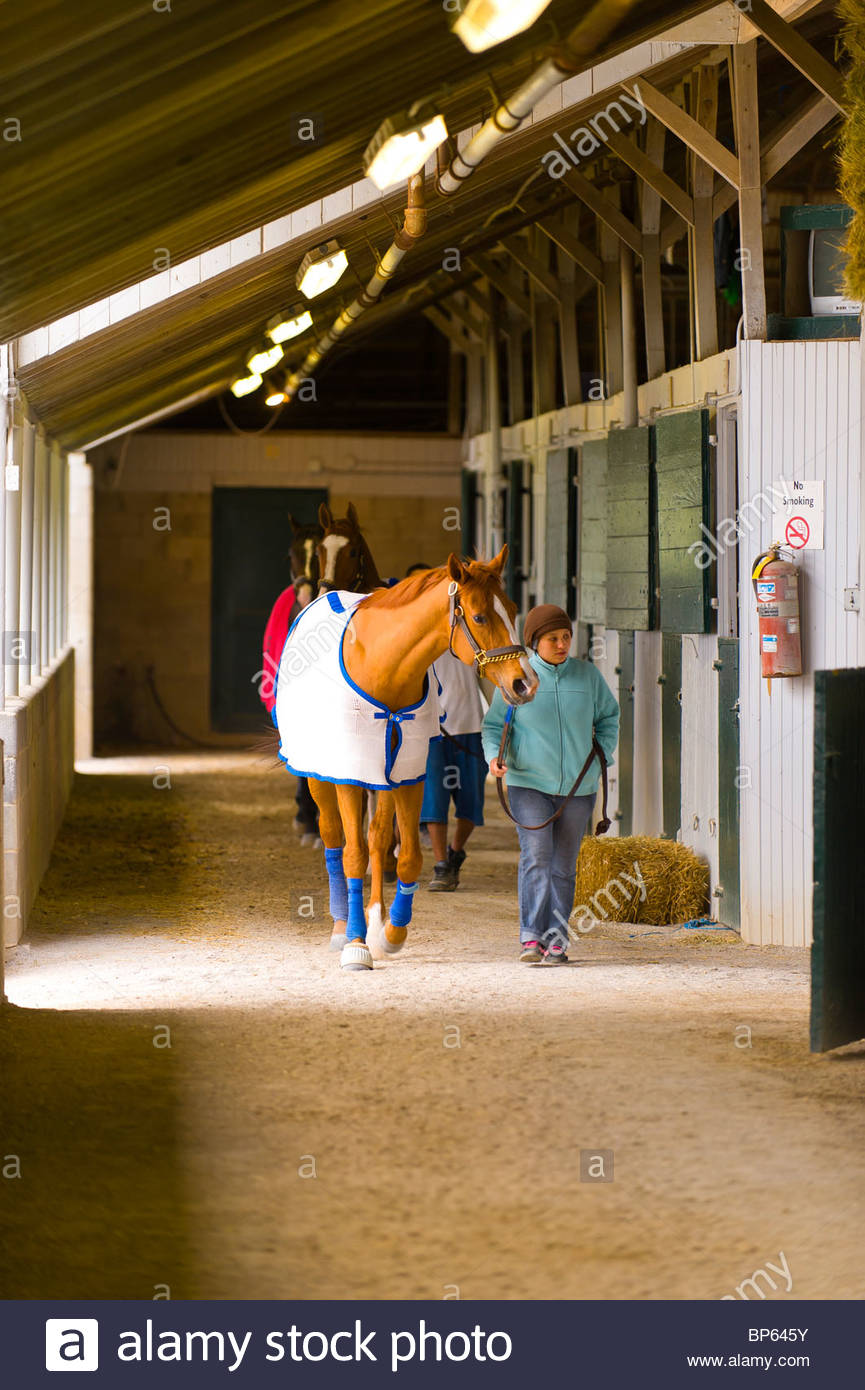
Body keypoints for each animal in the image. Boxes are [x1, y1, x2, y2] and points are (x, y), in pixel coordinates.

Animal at [273, 546, 538, 971]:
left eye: (513, 609)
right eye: (480, 616)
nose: (525, 683)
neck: (383, 663)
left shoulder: (410, 773)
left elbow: (407, 855)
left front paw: (390, 934)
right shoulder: (350, 775)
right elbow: (353, 854)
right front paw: (356, 946)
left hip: (382, 776)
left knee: (379, 839)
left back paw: (375, 919)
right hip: (320, 775)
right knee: (333, 838)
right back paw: (341, 927)